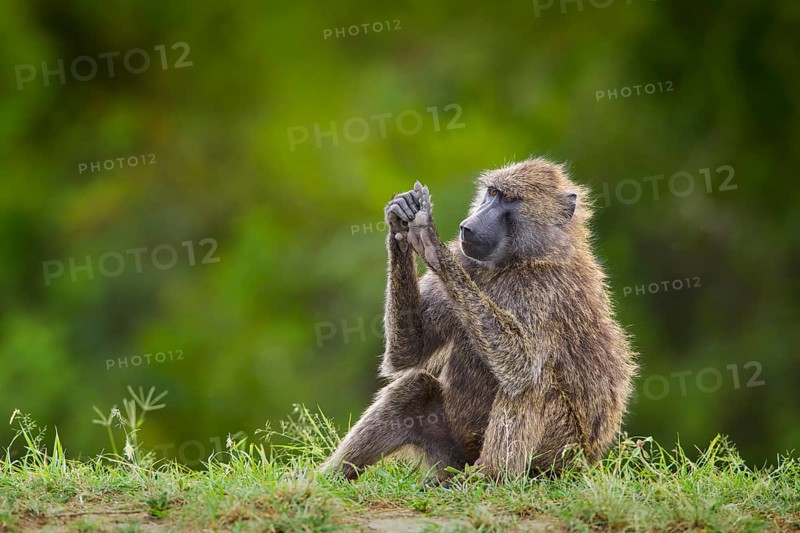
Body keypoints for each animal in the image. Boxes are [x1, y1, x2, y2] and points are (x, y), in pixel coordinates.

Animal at [320, 158, 637, 481]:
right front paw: (401, 218)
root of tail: (588, 462)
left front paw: (432, 243)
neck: (517, 262)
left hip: (558, 456)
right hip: (450, 452)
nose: (468, 226)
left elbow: (521, 366)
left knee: (532, 385)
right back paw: (328, 478)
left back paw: (490, 477)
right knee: (414, 387)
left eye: (511, 199)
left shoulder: (544, 291)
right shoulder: (467, 260)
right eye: (492, 193)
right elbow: (408, 355)